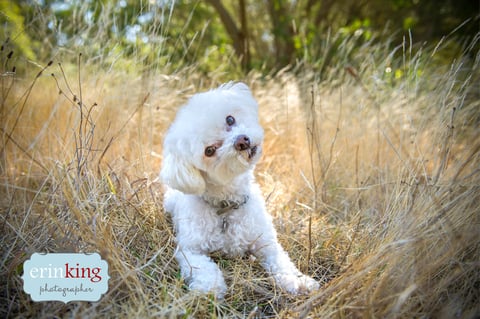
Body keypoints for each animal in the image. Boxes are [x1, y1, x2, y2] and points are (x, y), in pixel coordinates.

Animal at [159, 82, 320, 300]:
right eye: (210, 150)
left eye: (230, 119)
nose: (241, 141)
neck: (227, 206)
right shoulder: (189, 250)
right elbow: (205, 269)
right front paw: (210, 289)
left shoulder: (267, 243)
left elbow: (283, 263)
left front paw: (297, 281)